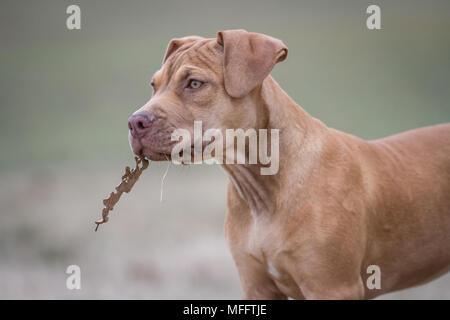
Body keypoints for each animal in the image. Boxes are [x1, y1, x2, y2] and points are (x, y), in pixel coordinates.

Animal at [126, 30, 450, 300]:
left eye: (194, 83)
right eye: (154, 86)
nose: (134, 122)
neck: (261, 189)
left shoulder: (333, 287)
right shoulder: (256, 286)